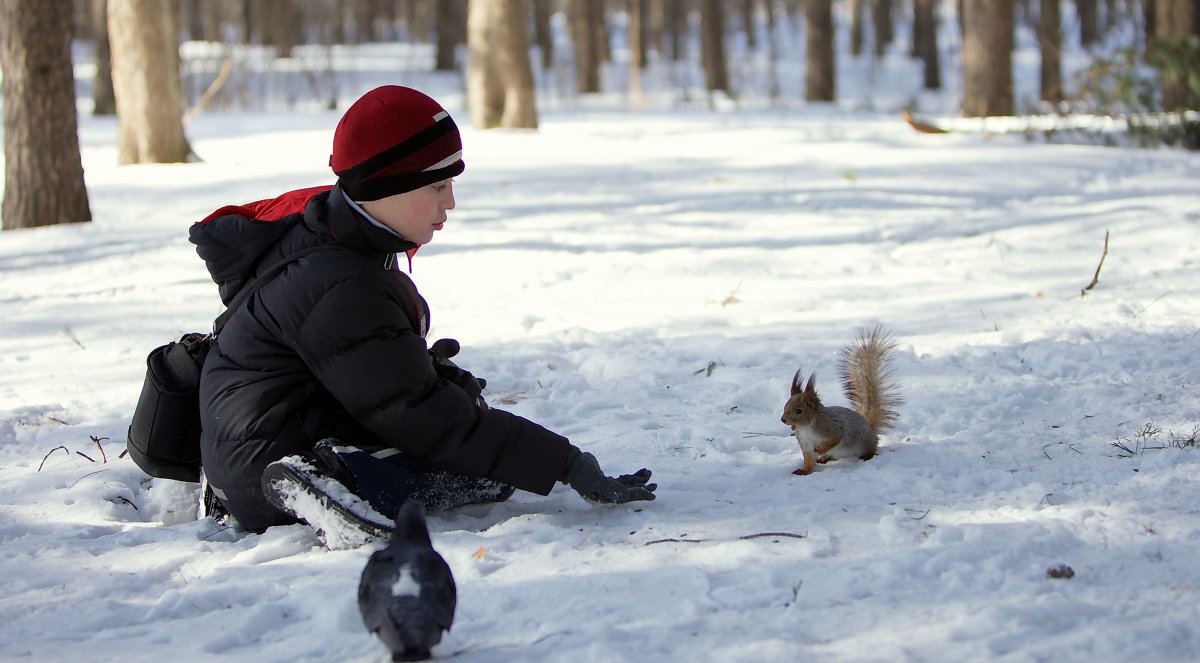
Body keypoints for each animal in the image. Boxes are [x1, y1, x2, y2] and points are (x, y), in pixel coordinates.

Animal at [777, 326, 902, 475]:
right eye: (785, 407)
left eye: (799, 411)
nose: (783, 419)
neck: (806, 427)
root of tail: (871, 429)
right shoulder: (805, 442)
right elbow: (808, 460)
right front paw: (804, 471)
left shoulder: (832, 428)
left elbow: (836, 439)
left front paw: (820, 449)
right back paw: (824, 458)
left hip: (865, 442)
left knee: (872, 449)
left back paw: (867, 455)